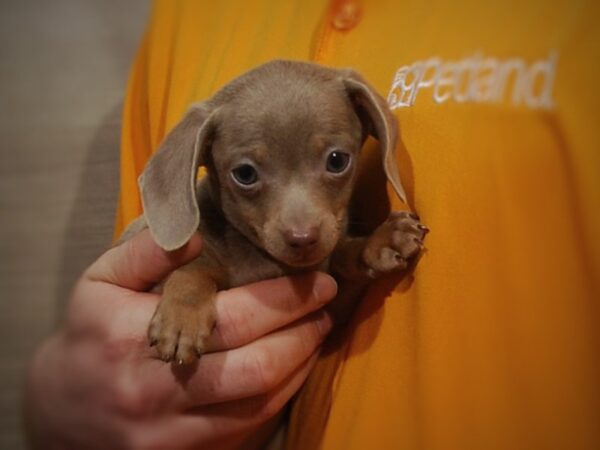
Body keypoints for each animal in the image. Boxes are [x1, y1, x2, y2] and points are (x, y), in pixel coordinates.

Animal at [120, 59, 426, 366]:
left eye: (337, 160)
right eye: (245, 174)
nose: (303, 238)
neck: (266, 262)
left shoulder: (333, 302)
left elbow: (343, 254)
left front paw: (381, 240)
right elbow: (195, 267)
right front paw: (183, 315)